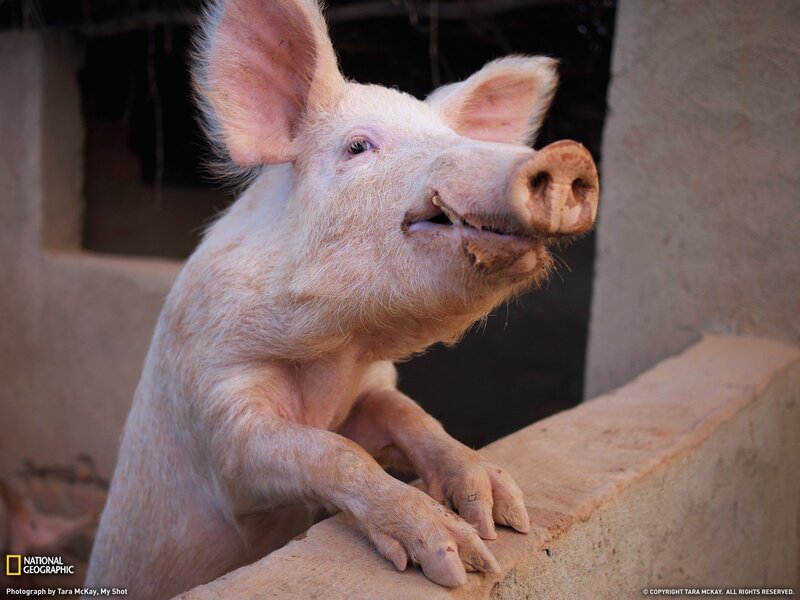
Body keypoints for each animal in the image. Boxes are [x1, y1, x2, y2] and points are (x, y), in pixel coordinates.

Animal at [85, 0, 599, 597]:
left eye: (444, 135)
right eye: (358, 146)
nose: (569, 157)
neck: (330, 359)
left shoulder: (368, 390)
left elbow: (413, 418)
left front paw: (503, 514)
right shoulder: (217, 412)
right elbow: (331, 453)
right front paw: (460, 561)